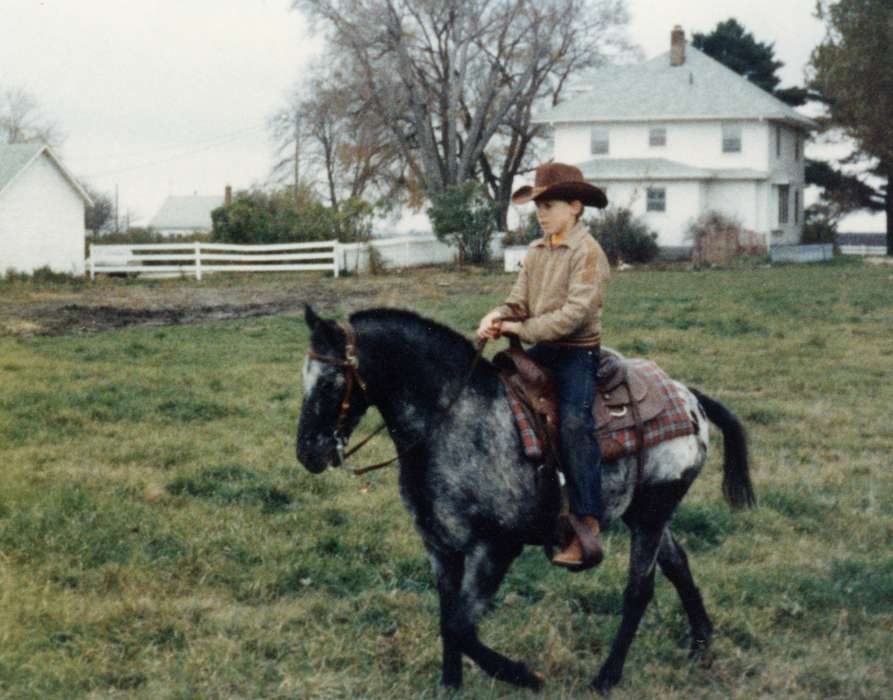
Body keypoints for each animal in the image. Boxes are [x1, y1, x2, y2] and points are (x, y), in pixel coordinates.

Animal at [298, 304, 752, 692]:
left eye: (330, 382)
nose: (307, 454)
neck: (455, 421)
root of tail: (687, 396)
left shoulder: (495, 547)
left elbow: (461, 627)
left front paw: (525, 676)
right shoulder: (440, 548)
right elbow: (448, 619)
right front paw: (451, 684)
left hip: (650, 516)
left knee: (639, 591)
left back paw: (606, 677)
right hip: (646, 513)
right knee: (678, 564)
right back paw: (700, 642)